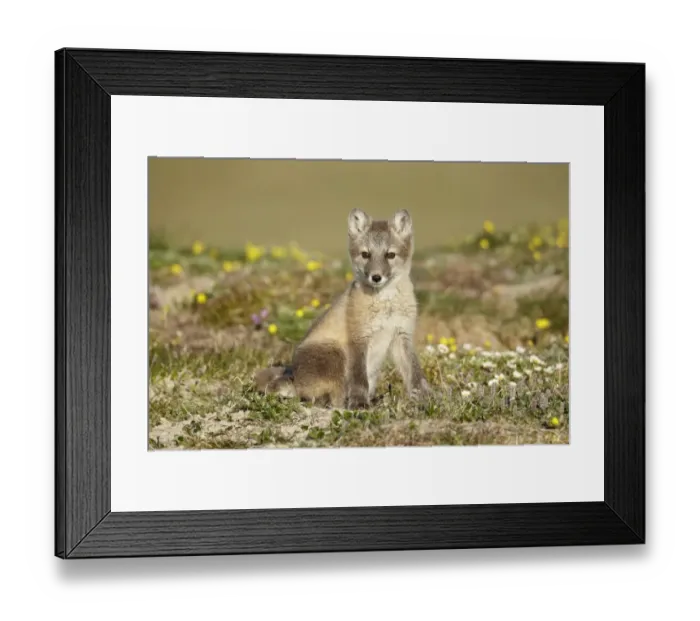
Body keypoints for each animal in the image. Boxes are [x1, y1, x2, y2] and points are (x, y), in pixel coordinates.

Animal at [254, 208, 431, 409]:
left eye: (390, 255)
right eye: (365, 254)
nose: (376, 277)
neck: (386, 303)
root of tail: (294, 377)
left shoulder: (402, 335)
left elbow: (415, 374)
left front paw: (425, 399)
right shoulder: (359, 338)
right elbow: (359, 379)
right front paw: (359, 403)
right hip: (336, 355)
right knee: (324, 398)